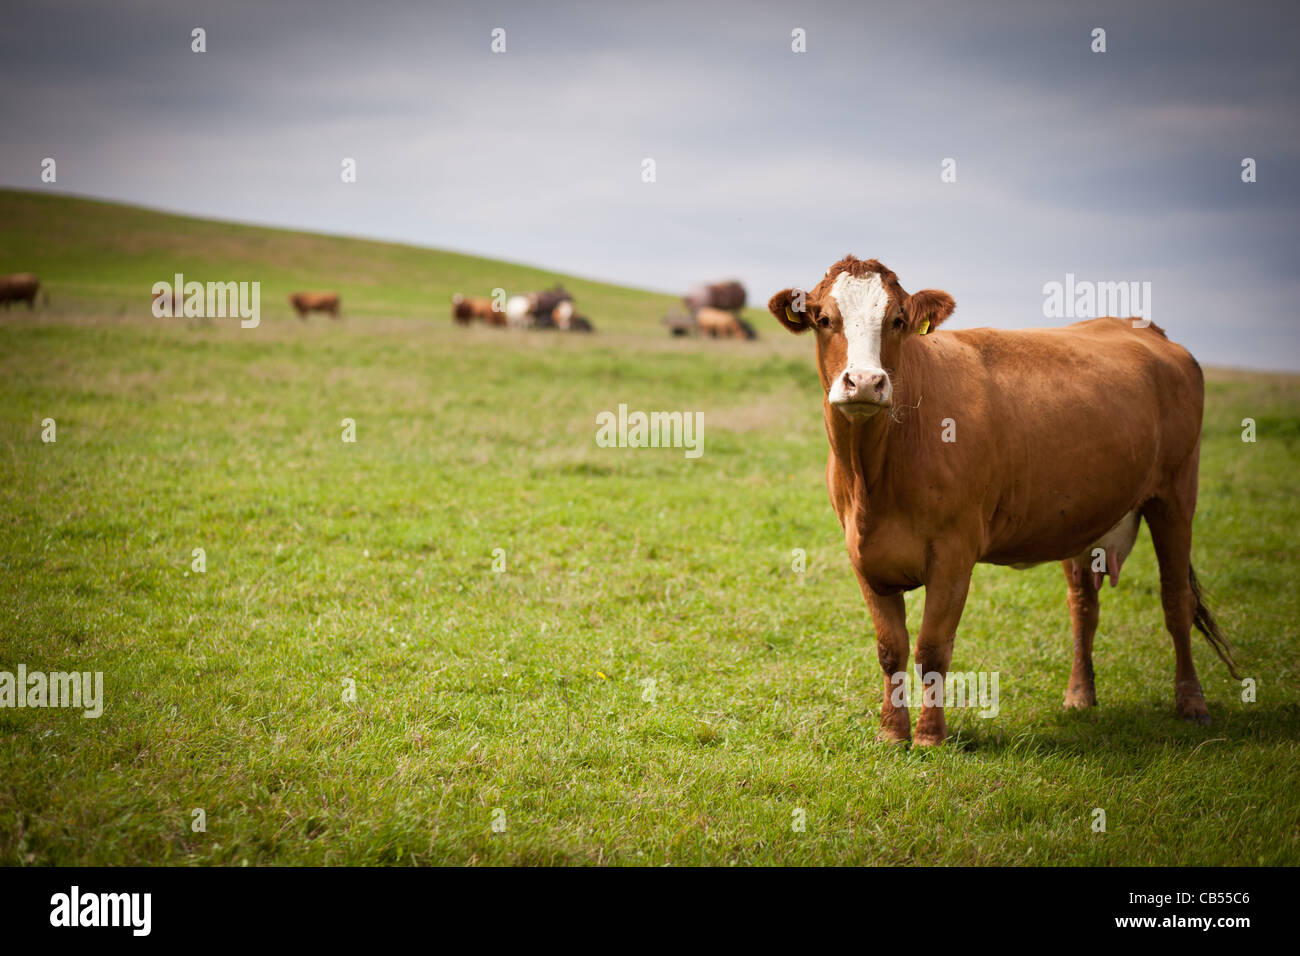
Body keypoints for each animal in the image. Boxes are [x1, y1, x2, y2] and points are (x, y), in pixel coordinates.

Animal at [768, 255, 1237, 746]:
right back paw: (1079, 695)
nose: (864, 381)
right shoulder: (864, 557)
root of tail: (1144, 329)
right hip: (1083, 518)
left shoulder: (954, 554)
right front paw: (892, 734)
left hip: (1176, 494)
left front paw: (930, 736)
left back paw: (1192, 704)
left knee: (1176, 600)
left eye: (896, 321)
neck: (875, 473)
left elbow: (932, 648)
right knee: (1083, 606)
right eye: (825, 320)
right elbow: (890, 648)